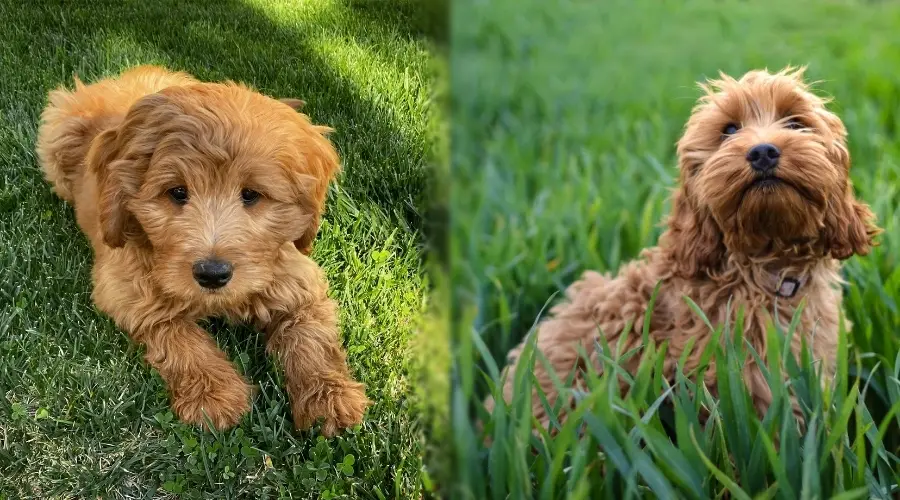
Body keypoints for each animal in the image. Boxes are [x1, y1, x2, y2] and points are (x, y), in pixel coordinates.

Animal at [36, 65, 370, 434]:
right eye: (177, 192)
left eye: (251, 194)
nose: (212, 274)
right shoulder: (126, 285)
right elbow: (175, 334)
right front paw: (215, 395)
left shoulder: (297, 276)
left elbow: (311, 336)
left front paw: (329, 397)